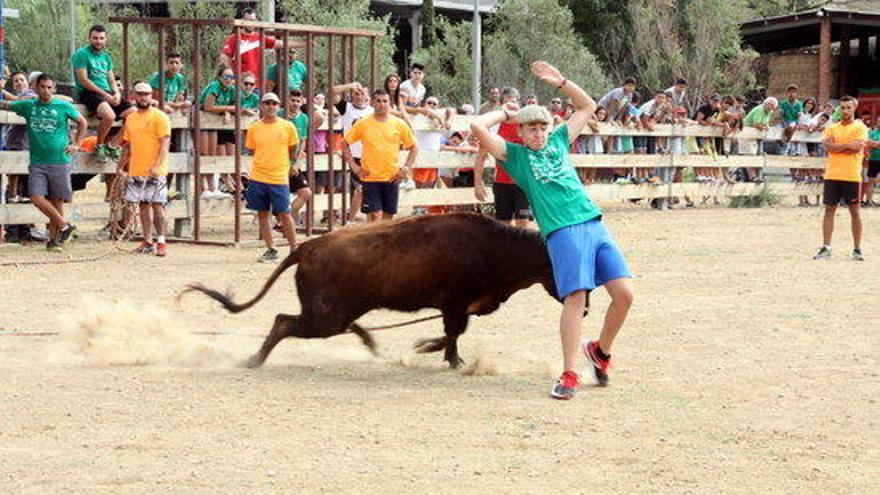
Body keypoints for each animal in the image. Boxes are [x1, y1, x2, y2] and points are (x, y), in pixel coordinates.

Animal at [185, 213, 584, 368]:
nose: (583, 308)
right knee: (284, 322)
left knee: (335, 324)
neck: (497, 248)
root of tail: (308, 246)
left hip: (336, 312)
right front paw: (450, 359)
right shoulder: (455, 303)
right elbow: (454, 333)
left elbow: (451, 333)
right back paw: (254, 359)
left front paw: (430, 348)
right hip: (325, 315)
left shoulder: (458, 306)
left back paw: (370, 343)